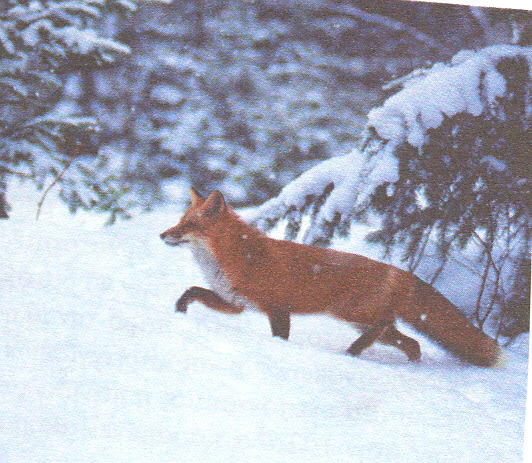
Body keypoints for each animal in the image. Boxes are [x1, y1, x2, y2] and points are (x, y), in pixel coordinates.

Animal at [159, 188, 502, 366]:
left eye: (188, 225)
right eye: (180, 221)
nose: (162, 235)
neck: (237, 257)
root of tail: (399, 270)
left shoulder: (277, 308)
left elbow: (280, 337)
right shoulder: (235, 303)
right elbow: (191, 291)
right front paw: (179, 311)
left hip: (350, 313)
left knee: (385, 329)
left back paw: (354, 352)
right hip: (364, 321)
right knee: (411, 343)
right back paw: (404, 364)